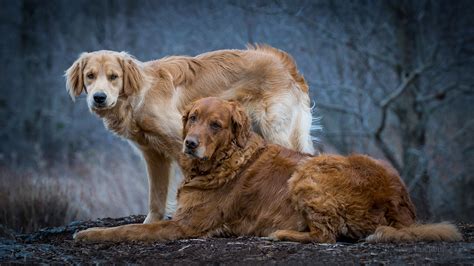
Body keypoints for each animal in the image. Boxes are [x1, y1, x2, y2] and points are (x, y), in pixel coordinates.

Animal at [63, 44, 314, 223]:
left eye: (114, 77)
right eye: (90, 76)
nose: (99, 97)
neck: (141, 94)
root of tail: (283, 63)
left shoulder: (183, 145)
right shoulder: (153, 155)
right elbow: (156, 197)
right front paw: (150, 223)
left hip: (276, 130)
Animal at [74, 97, 462, 243]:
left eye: (216, 125)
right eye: (193, 118)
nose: (190, 144)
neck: (224, 161)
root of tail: (402, 201)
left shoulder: (187, 225)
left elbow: (128, 230)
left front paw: (90, 235)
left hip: (309, 171)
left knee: (326, 235)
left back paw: (283, 234)